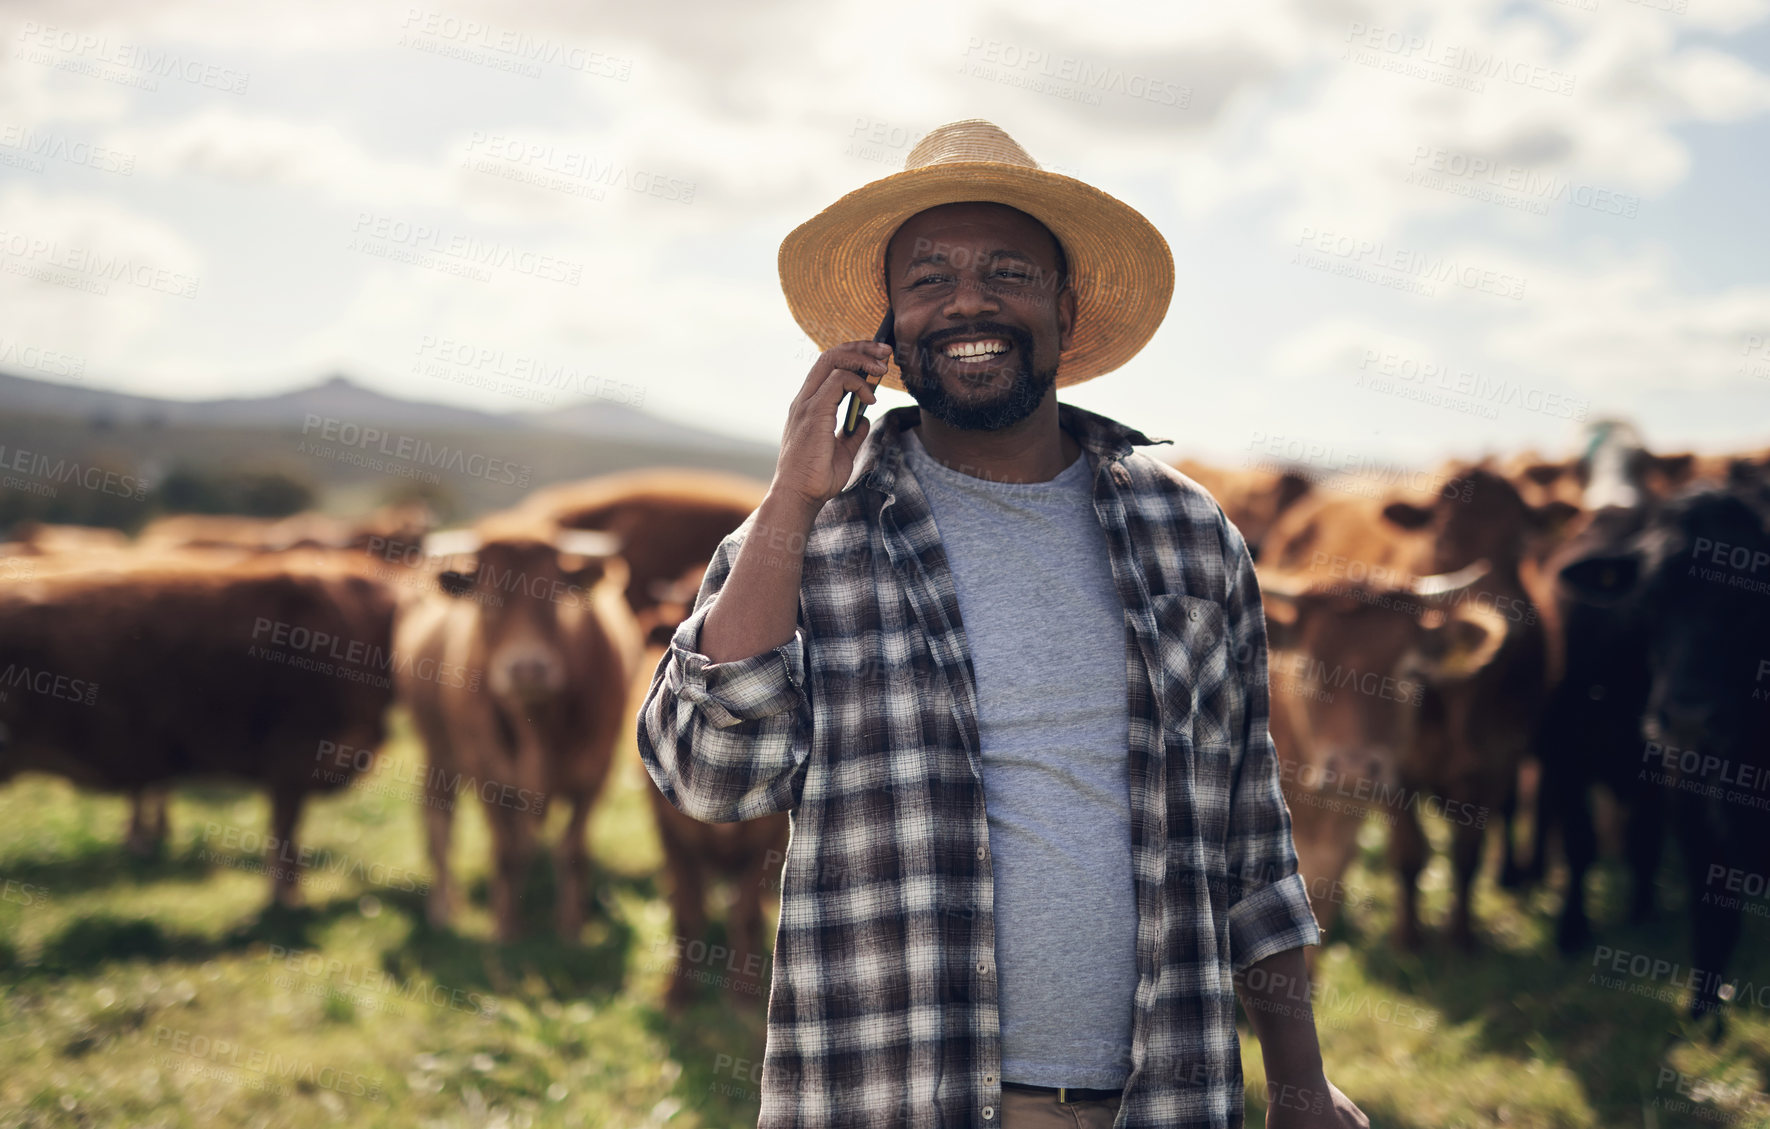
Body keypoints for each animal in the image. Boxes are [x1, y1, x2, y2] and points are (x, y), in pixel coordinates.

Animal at [398, 516, 647, 941]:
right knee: (439, 823)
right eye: (486, 598)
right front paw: (506, 928)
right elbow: (506, 851)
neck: (538, 726)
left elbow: (572, 848)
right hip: (437, 751)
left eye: (554, 594)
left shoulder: (595, 773)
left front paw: (571, 927)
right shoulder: (488, 773)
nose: (527, 669)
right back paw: (443, 908)